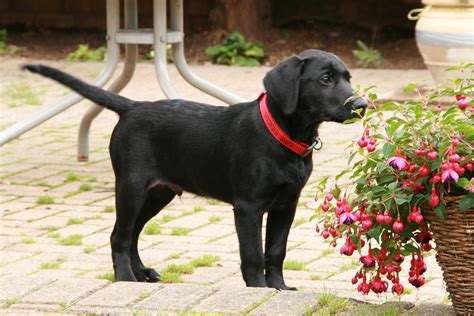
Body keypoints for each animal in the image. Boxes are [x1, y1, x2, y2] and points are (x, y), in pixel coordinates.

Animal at [24, 49, 368, 288]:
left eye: (348, 78)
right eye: (325, 79)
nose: (362, 105)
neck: (285, 137)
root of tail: (132, 106)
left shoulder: (287, 204)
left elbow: (276, 251)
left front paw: (279, 289)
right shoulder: (248, 206)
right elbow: (253, 255)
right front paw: (259, 290)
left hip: (158, 192)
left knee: (132, 233)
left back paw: (141, 272)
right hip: (131, 186)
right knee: (119, 236)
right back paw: (125, 278)